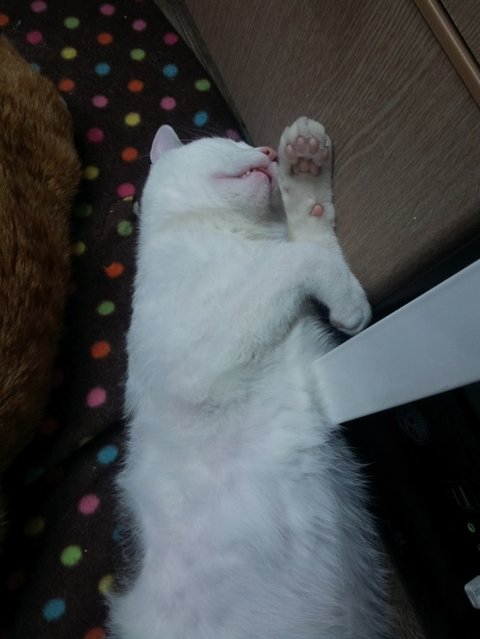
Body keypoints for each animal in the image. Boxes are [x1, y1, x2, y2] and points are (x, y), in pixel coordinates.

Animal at [108, 116, 390, 638]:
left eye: (250, 144)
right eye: (227, 141)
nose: (265, 151)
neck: (238, 240)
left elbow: (310, 240)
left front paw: (304, 166)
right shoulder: (201, 359)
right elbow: (297, 260)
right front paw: (351, 304)